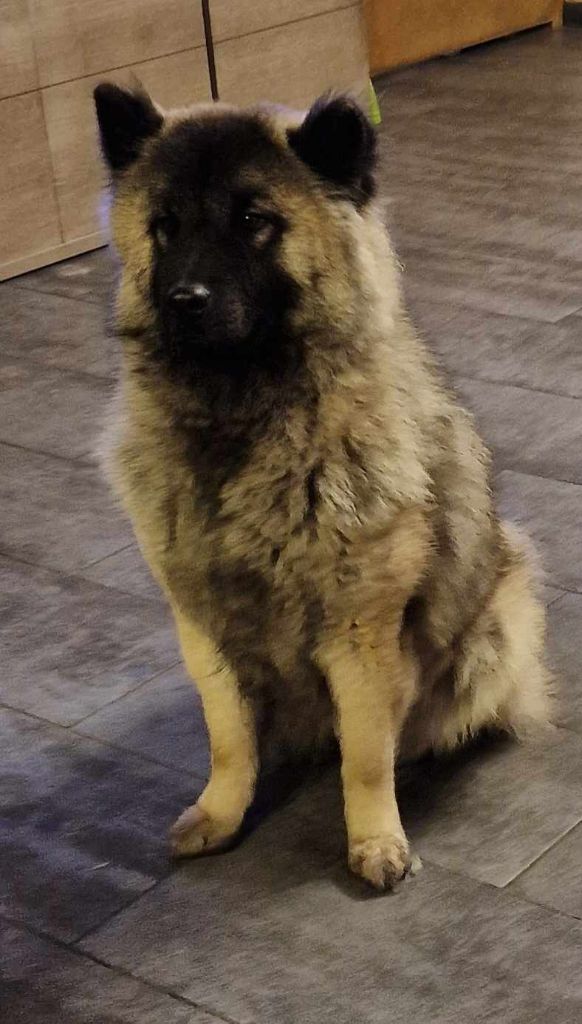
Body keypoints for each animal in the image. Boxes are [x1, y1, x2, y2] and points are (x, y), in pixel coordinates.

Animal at [93, 84, 551, 889]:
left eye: (254, 222)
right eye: (166, 226)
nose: (184, 299)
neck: (243, 419)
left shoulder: (360, 629)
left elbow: (366, 756)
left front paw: (375, 839)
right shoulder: (202, 621)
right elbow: (229, 739)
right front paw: (221, 813)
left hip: (494, 626)